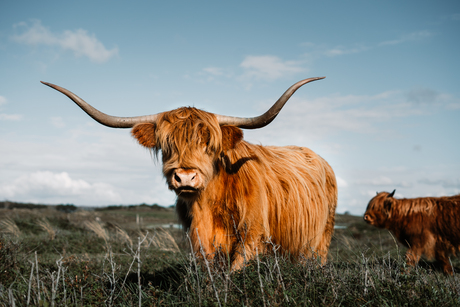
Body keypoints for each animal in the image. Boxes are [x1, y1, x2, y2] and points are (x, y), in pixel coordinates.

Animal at [43, 77, 338, 270]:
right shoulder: (197, 238)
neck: (211, 205)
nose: (185, 177)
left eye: (209, 145)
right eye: (166, 145)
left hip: (321, 238)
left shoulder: (254, 236)